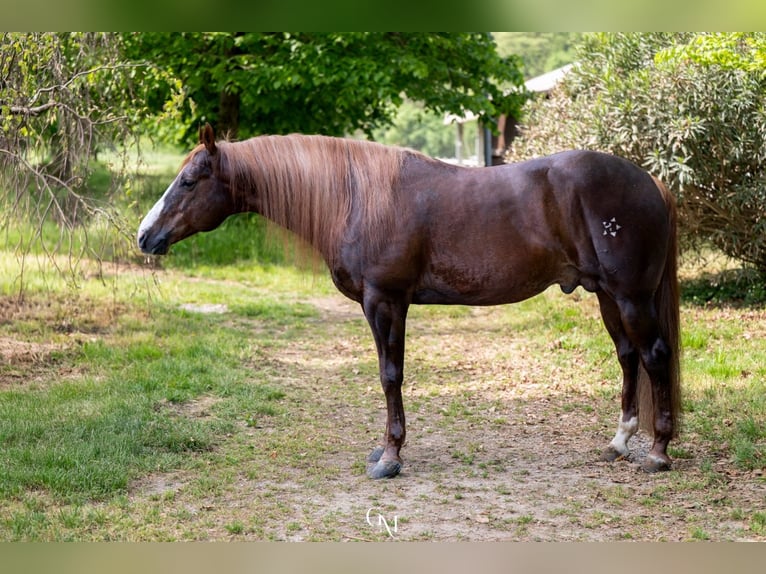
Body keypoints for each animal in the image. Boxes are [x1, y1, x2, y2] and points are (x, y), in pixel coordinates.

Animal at [138, 124, 680, 480]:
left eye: (189, 181)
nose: (145, 236)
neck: (355, 198)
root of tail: (652, 181)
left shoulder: (386, 301)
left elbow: (390, 375)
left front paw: (390, 456)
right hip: (607, 297)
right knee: (628, 357)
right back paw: (619, 442)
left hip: (630, 298)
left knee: (654, 356)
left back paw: (658, 452)